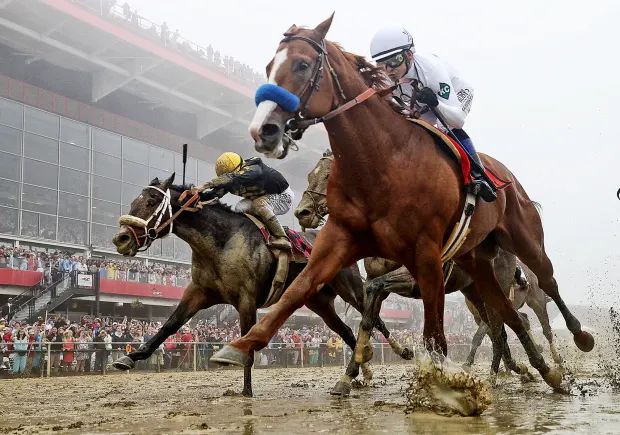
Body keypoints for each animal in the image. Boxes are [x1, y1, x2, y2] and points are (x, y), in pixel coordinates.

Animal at [111, 175, 402, 398]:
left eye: (151, 201)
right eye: (135, 201)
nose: (121, 238)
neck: (222, 241)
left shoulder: (246, 299)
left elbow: (247, 341)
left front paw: (246, 391)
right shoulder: (199, 292)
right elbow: (169, 325)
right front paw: (129, 357)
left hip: (350, 289)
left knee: (372, 316)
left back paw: (401, 350)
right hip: (319, 303)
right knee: (347, 332)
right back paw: (362, 372)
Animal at [212, 16, 592, 392]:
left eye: (302, 65)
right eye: (268, 66)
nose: (263, 129)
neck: (383, 163)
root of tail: (506, 176)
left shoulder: (424, 260)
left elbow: (432, 335)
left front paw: (440, 384)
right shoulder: (341, 240)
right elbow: (303, 291)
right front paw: (241, 346)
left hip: (524, 241)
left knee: (544, 288)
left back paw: (576, 339)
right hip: (477, 267)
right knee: (508, 317)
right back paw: (541, 371)